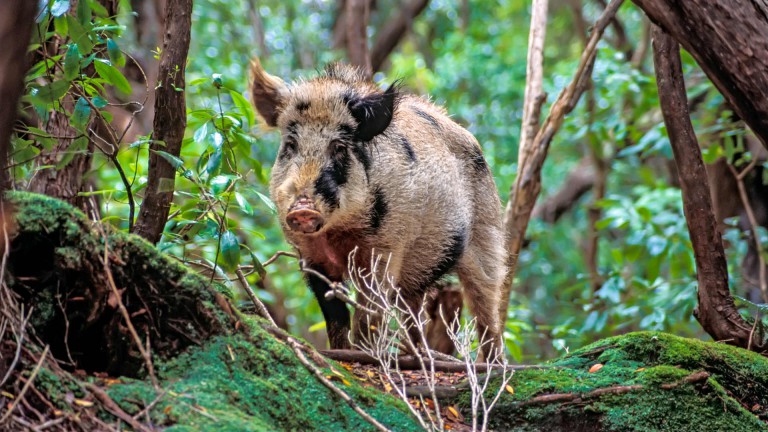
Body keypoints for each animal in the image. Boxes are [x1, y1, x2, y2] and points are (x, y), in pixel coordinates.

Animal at [250, 58, 507, 357]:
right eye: (290, 145)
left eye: (339, 147)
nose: (303, 208)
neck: (338, 232)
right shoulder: (311, 256)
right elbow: (335, 316)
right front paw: (341, 354)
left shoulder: (386, 249)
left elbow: (368, 314)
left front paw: (365, 354)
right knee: (414, 311)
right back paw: (416, 355)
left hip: (487, 232)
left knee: (487, 304)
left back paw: (489, 362)